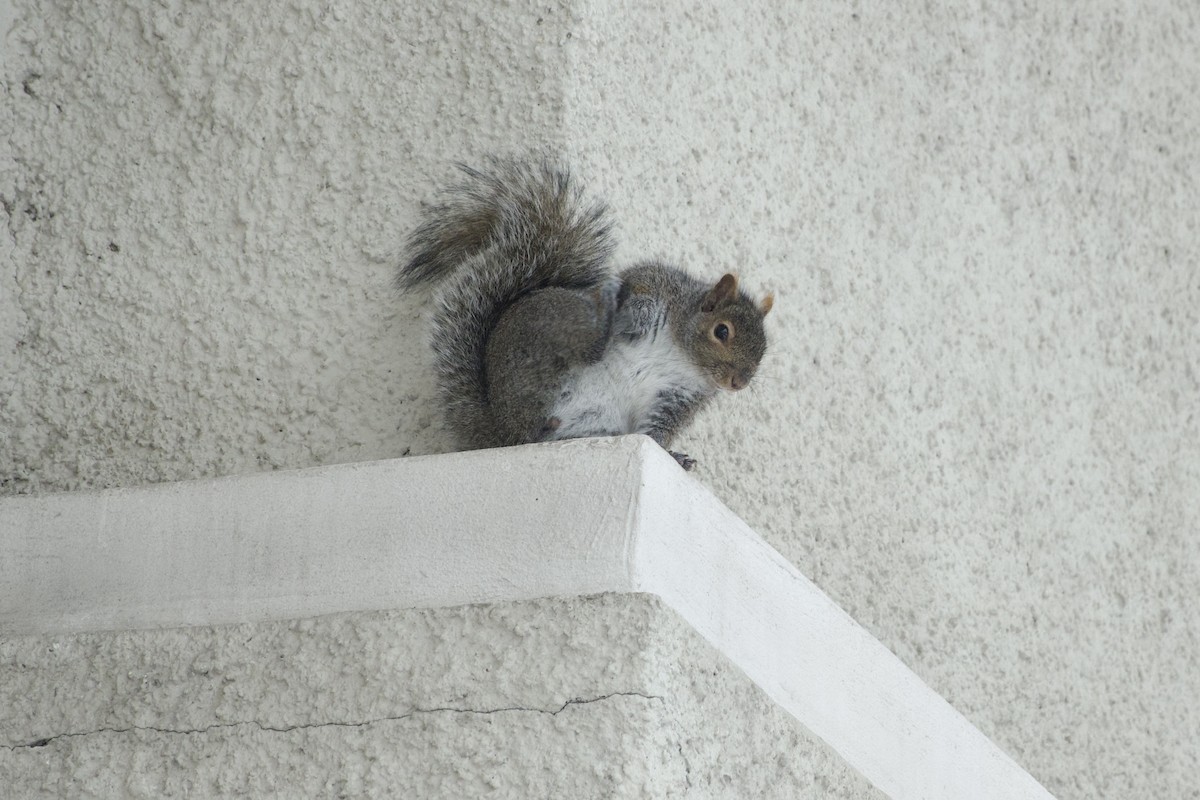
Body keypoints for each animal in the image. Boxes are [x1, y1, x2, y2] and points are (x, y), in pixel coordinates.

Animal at [396, 157, 773, 470]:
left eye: (764, 349)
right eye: (721, 331)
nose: (738, 382)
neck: (681, 353)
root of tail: (502, 434)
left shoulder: (677, 396)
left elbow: (656, 431)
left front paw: (672, 454)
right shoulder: (648, 285)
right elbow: (635, 300)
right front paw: (625, 315)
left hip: (591, 419)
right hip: (549, 341)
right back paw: (602, 330)